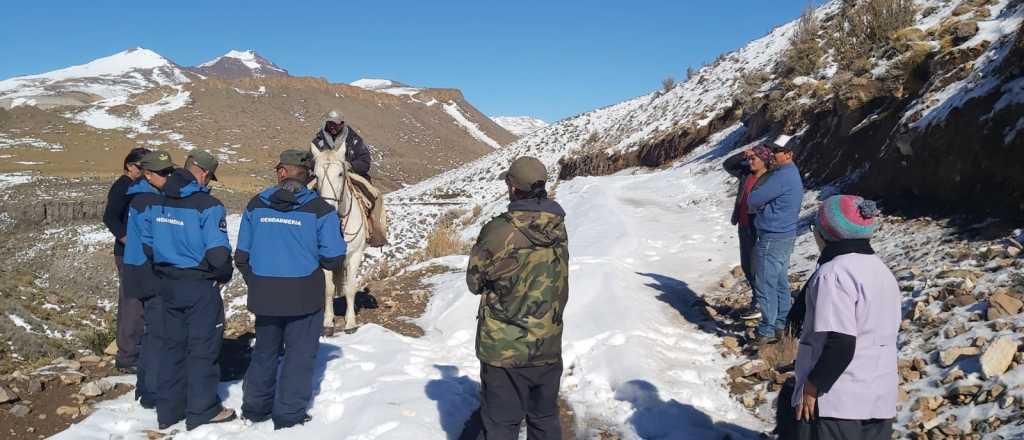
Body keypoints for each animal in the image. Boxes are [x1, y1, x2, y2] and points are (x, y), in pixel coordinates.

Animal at [311, 145, 368, 333]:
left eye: (341, 174)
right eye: (315, 175)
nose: (327, 208)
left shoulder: (354, 255)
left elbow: (350, 288)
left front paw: (350, 323)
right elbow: (329, 289)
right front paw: (328, 321)